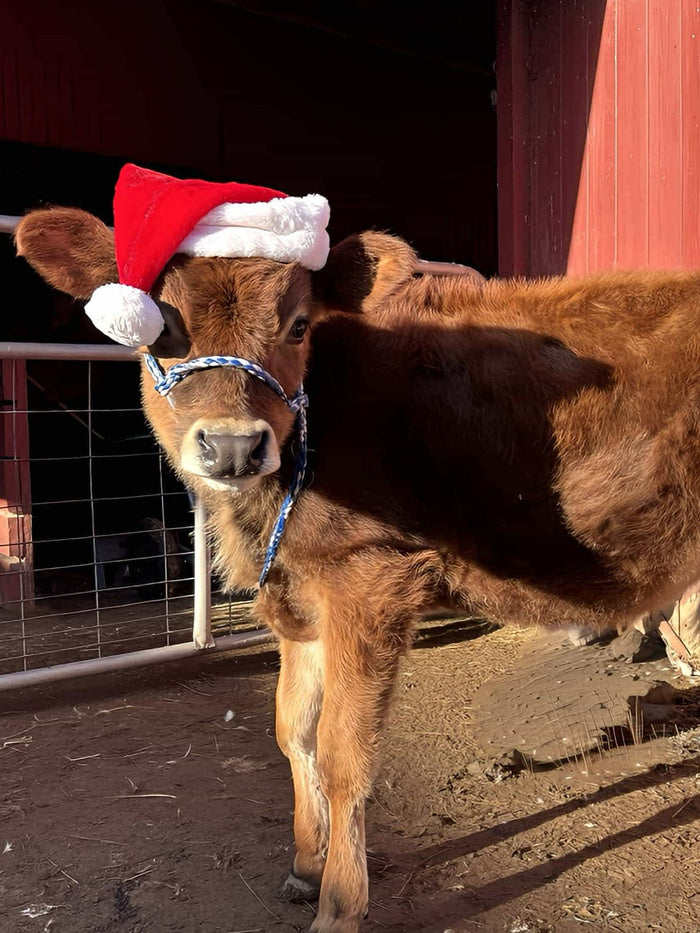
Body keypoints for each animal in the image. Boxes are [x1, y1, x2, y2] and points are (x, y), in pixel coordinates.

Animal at [15, 206, 700, 932]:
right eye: (163, 324)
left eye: (298, 325)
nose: (233, 446)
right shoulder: (303, 596)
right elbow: (294, 732)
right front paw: (305, 865)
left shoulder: (369, 579)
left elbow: (345, 752)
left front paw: (341, 904)